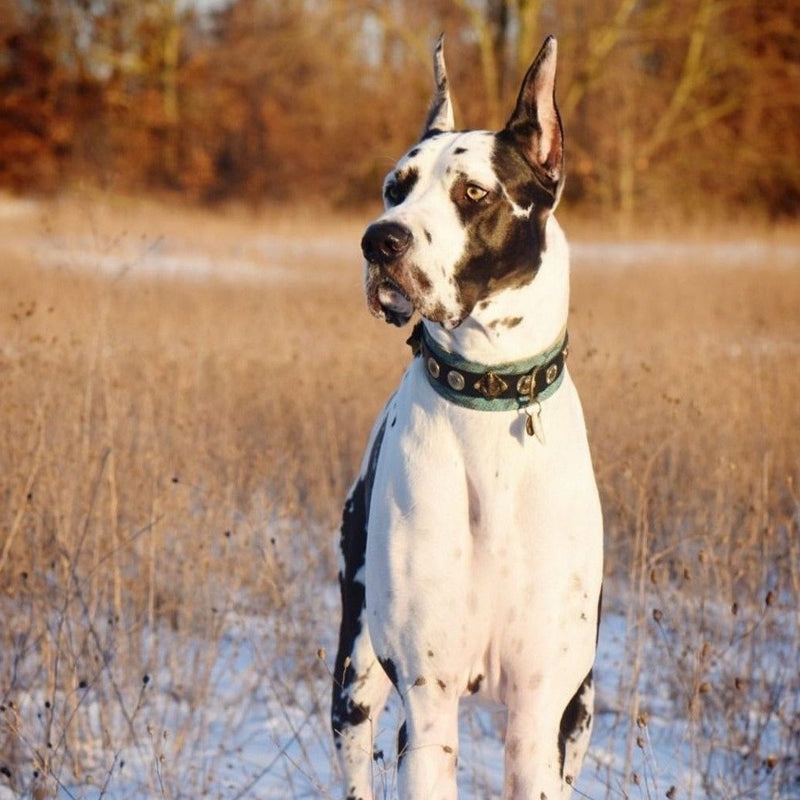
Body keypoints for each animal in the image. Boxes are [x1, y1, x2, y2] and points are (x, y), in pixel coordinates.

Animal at [332, 34, 600, 796]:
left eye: (473, 192)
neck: (488, 392)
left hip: (580, 713)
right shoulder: (428, 704)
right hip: (355, 681)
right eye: (395, 187)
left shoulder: (540, 713)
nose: (379, 242)